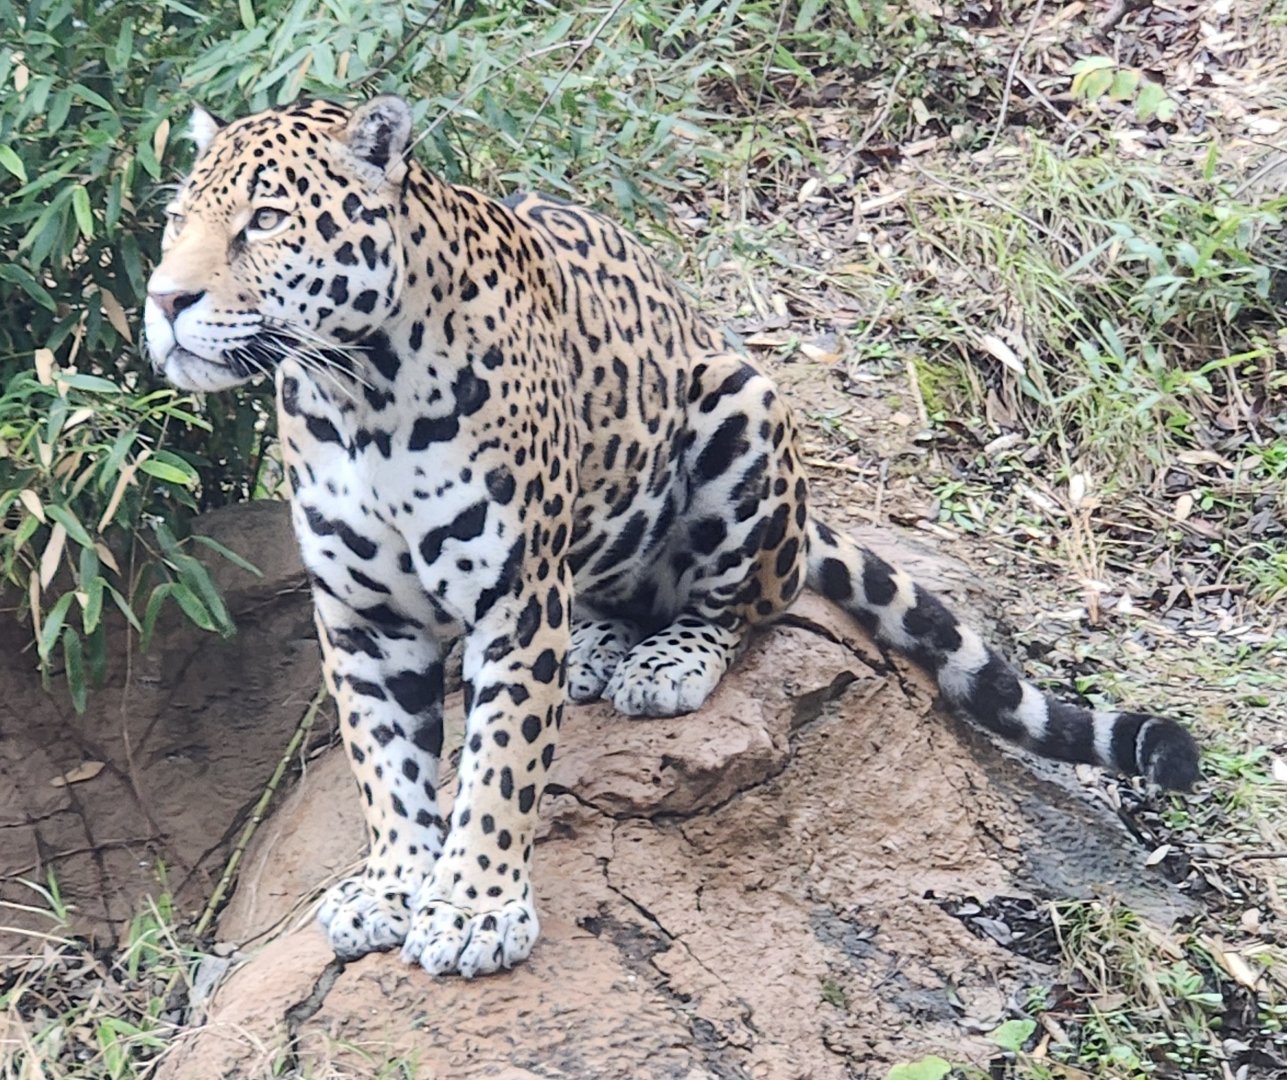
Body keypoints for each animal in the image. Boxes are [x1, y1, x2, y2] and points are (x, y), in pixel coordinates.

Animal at [144, 95, 1200, 979]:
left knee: (739, 604)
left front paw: (477, 908)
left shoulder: (513, 598)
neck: (355, 398)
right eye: (175, 221)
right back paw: (597, 650)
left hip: (740, 404)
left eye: (265, 221)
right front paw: (396, 886)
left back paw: (665, 664)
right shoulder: (361, 616)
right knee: (608, 595)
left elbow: (498, 763)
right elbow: (385, 766)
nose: (162, 302)